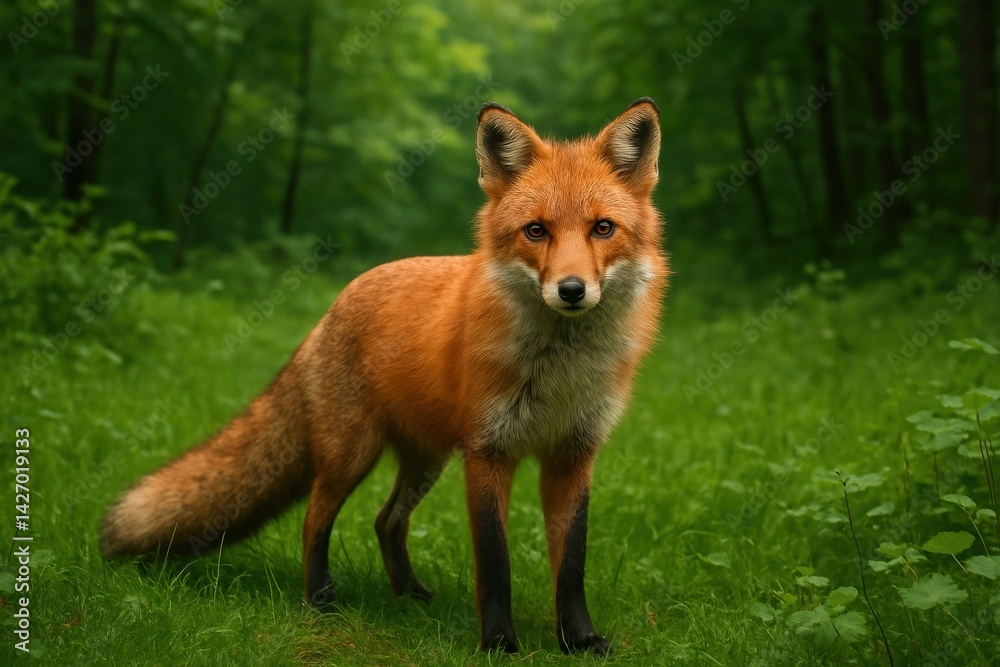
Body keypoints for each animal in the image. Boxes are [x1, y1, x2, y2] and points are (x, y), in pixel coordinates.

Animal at [100, 98, 668, 655]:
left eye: (602, 228)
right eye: (536, 230)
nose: (571, 290)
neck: (560, 371)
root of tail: (336, 304)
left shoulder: (573, 455)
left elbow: (571, 562)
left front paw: (579, 639)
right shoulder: (488, 451)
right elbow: (494, 560)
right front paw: (498, 642)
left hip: (426, 460)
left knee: (387, 519)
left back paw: (408, 592)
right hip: (353, 454)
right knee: (315, 518)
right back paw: (320, 599)